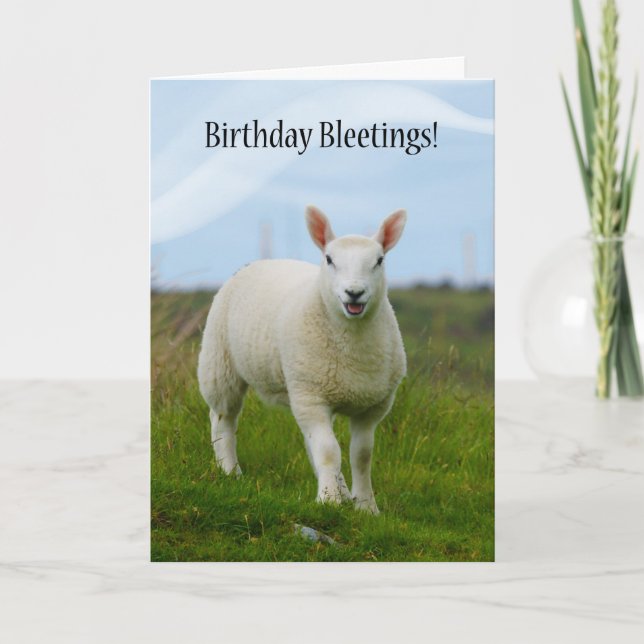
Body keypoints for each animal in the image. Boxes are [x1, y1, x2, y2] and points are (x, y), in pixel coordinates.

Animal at [197, 206, 407, 514]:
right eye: (329, 259)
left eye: (379, 261)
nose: (354, 293)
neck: (351, 343)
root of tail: (261, 261)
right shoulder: (312, 396)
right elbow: (329, 451)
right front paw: (329, 500)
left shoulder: (372, 407)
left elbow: (361, 455)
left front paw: (365, 506)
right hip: (221, 363)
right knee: (223, 419)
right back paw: (229, 470)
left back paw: (343, 491)